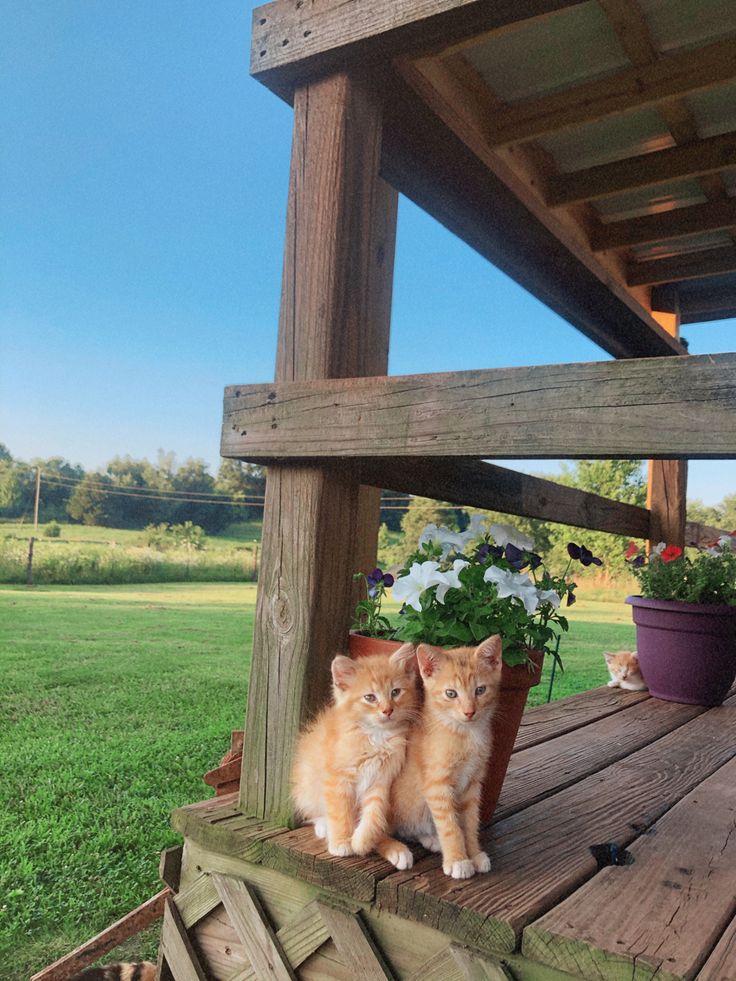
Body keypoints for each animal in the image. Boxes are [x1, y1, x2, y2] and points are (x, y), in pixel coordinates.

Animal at [294, 648, 420, 868]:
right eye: (370, 697)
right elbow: (340, 812)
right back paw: (325, 826)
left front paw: (362, 841)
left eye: (395, 692)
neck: (376, 737)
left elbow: (373, 814)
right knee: (315, 810)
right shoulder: (338, 778)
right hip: (307, 783)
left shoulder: (381, 780)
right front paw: (342, 842)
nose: (388, 710)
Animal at [376, 636, 504, 880]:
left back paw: (430, 839)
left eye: (480, 690)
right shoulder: (437, 785)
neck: (465, 735)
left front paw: (474, 853)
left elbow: (469, 822)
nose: (469, 712)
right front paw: (458, 860)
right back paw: (397, 850)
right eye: (451, 694)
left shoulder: (473, 784)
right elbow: (451, 825)